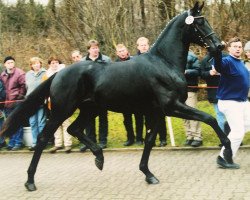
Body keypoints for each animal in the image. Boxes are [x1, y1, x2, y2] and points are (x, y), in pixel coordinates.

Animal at [0, 1, 233, 192]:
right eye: (199, 23)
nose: (219, 45)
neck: (163, 63)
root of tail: (58, 73)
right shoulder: (172, 106)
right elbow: (210, 119)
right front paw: (228, 154)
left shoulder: (157, 112)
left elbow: (149, 140)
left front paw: (148, 174)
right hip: (61, 111)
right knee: (42, 139)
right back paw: (30, 181)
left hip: (90, 109)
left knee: (73, 129)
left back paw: (99, 158)